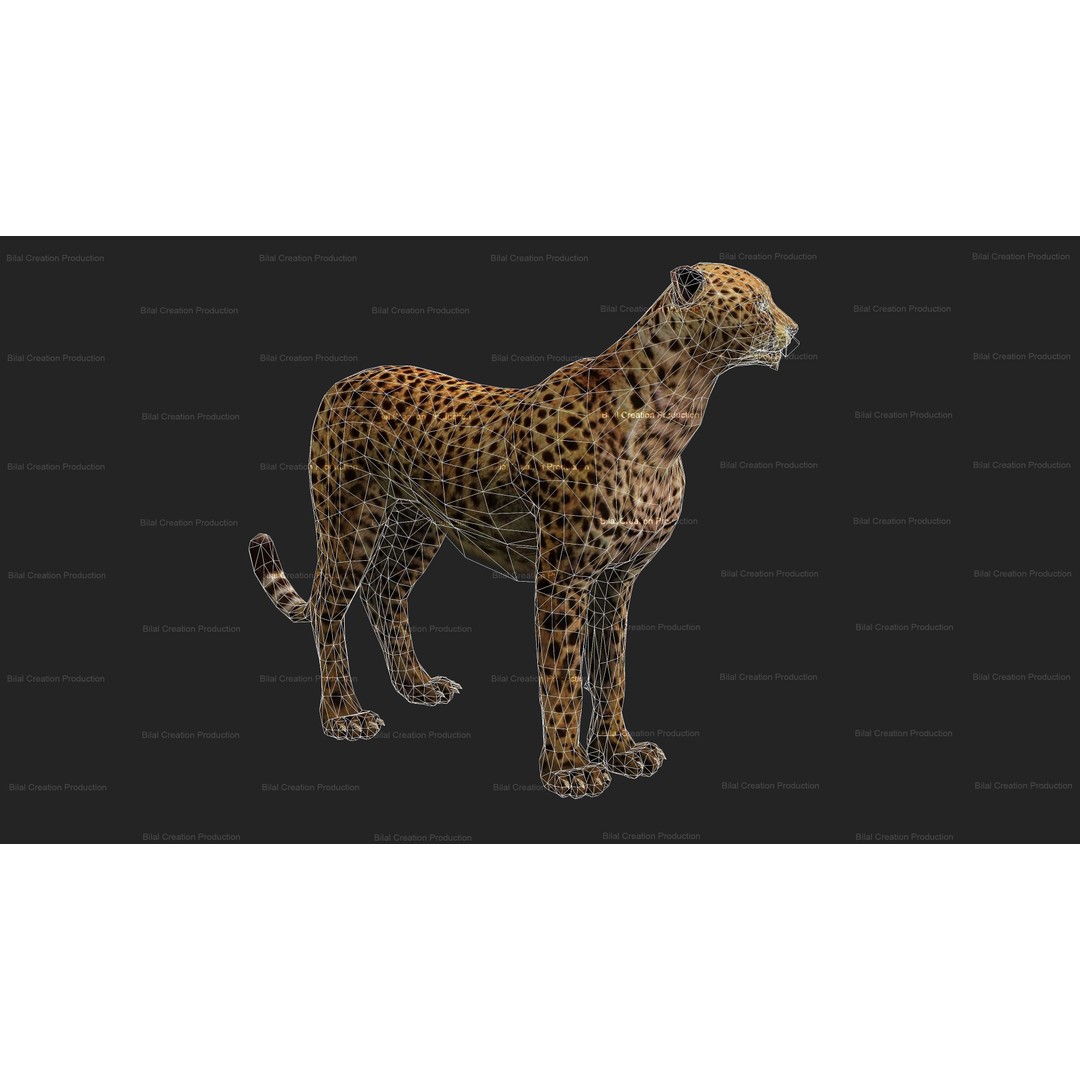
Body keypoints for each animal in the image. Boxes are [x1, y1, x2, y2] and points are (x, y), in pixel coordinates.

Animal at [250, 262, 798, 798]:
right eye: (758, 301)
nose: (794, 331)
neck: (669, 419)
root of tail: (346, 379)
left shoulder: (617, 578)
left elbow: (611, 670)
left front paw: (619, 750)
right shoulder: (563, 578)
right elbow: (563, 677)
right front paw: (568, 770)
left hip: (417, 522)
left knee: (385, 589)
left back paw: (417, 684)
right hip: (350, 515)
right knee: (327, 602)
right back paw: (344, 714)